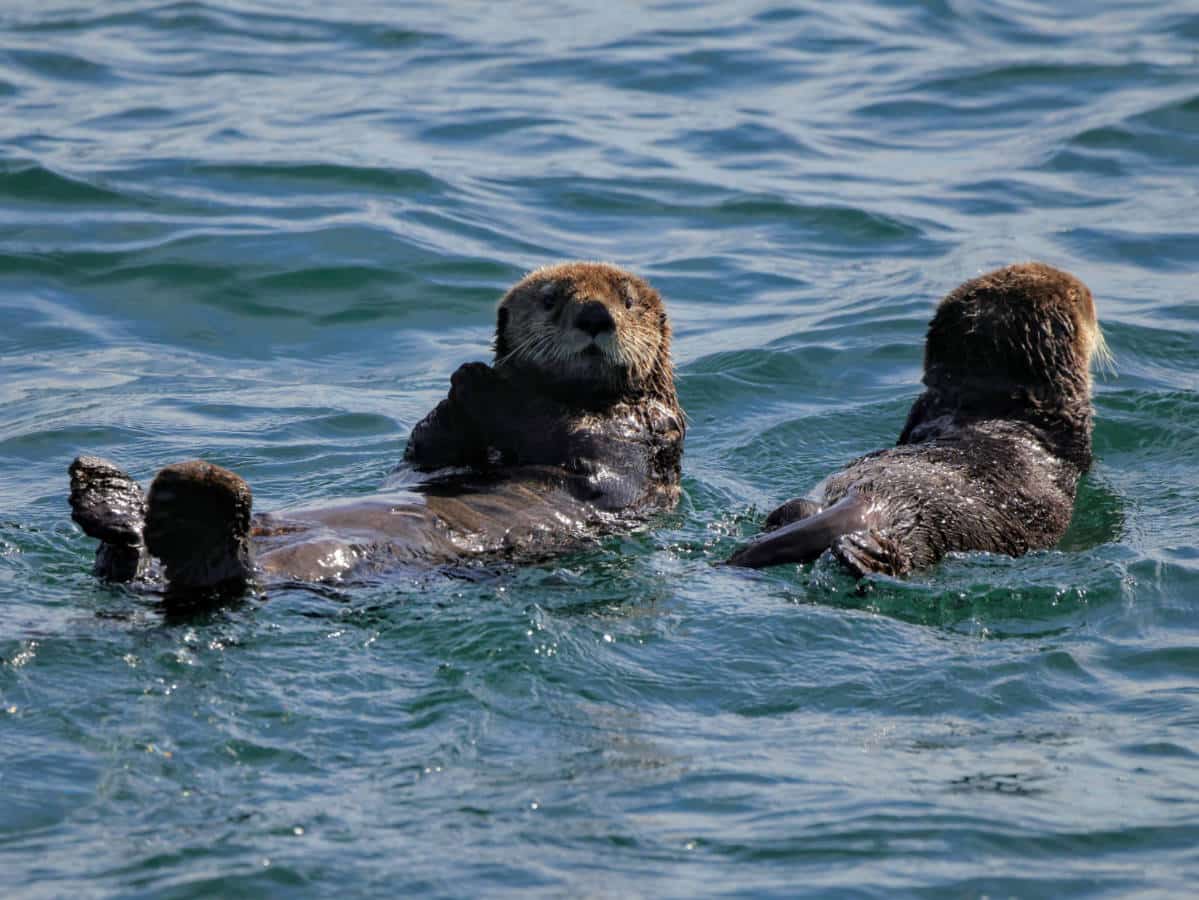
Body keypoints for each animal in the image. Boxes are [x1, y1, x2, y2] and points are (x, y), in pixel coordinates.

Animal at [69, 262, 684, 594]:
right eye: (553, 300)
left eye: (628, 301)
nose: (595, 317)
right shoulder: (435, 454)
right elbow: (426, 451)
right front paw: (465, 383)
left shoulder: (637, 435)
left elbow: (572, 438)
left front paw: (479, 378)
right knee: (131, 558)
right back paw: (109, 492)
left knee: (224, 567)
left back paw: (181, 503)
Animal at [726, 262, 1110, 577]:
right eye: (1083, 300)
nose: (1092, 296)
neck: (987, 405)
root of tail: (869, 496)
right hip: (933, 531)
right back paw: (871, 559)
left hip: (822, 496)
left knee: (799, 508)